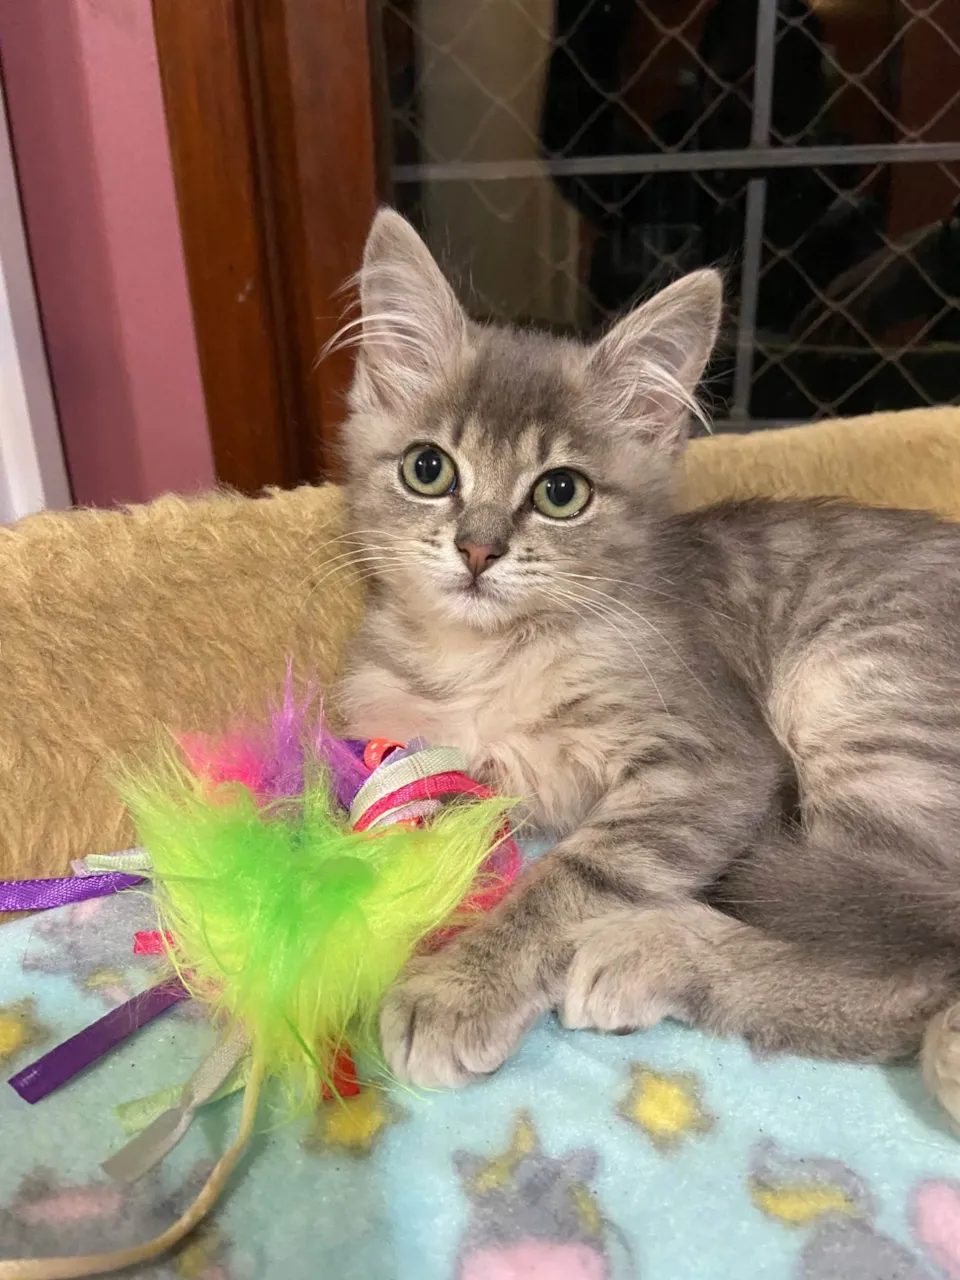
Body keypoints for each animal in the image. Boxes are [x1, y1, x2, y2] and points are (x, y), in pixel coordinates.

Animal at [336, 208, 960, 1123]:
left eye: (560, 492)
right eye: (428, 469)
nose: (478, 550)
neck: (489, 655)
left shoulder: (715, 760)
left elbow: (571, 873)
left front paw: (459, 986)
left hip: (862, 700)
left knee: (908, 971)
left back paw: (655, 952)